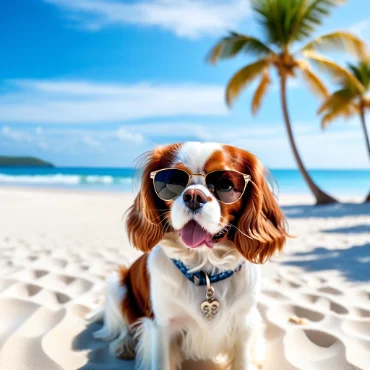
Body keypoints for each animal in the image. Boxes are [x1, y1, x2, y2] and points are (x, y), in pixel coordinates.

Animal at [87, 142, 290, 370]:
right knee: (121, 326)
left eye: (226, 185)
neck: (205, 268)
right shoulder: (162, 327)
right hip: (117, 284)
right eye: (171, 181)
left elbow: (242, 361)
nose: (193, 196)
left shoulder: (243, 324)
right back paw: (123, 345)